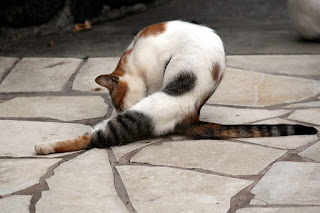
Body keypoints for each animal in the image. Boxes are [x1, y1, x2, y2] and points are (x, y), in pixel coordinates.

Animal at [34, 20, 318, 155]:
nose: (117, 111)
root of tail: (191, 114)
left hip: (139, 115)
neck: (133, 62)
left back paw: (43, 147)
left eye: (117, 102)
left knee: (92, 138)